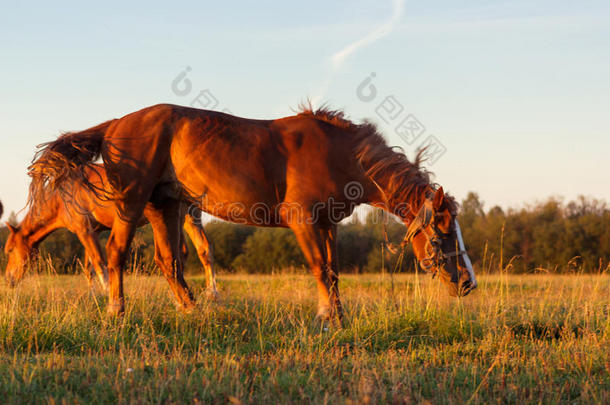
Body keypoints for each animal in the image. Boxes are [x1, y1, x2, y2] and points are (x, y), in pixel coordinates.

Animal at [4, 164, 217, 296]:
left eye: (10, 250)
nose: (8, 279)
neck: (61, 196)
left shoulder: (84, 229)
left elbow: (99, 263)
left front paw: (107, 291)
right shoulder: (93, 231)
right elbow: (88, 267)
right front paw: (93, 294)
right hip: (190, 215)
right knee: (202, 250)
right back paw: (211, 293)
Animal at [28, 104, 476, 318]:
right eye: (443, 233)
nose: (467, 284)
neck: (340, 153)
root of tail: (117, 123)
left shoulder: (327, 223)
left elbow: (333, 272)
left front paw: (337, 315)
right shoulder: (305, 221)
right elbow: (321, 269)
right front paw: (328, 317)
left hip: (164, 207)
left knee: (169, 262)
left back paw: (192, 311)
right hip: (131, 204)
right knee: (116, 254)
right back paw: (117, 310)